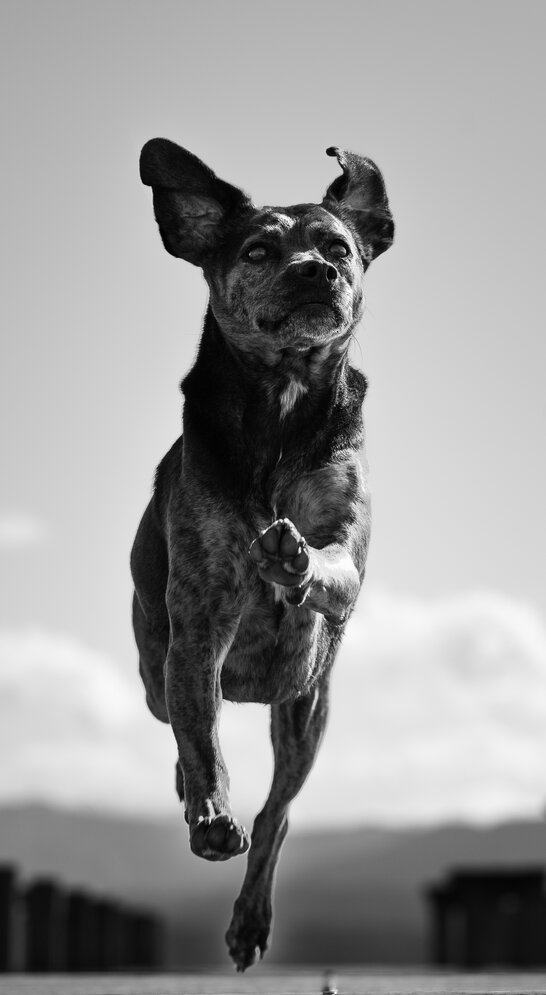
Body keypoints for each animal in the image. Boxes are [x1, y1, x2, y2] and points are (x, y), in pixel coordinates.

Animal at [131, 142, 396, 972]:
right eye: (256, 251)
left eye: (339, 247)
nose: (316, 271)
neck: (280, 402)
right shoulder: (199, 621)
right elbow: (202, 742)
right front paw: (211, 808)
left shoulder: (345, 543)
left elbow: (333, 563)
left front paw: (295, 559)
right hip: (159, 670)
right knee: (186, 725)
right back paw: (200, 801)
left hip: (306, 704)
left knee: (279, 813)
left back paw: (250, 915)